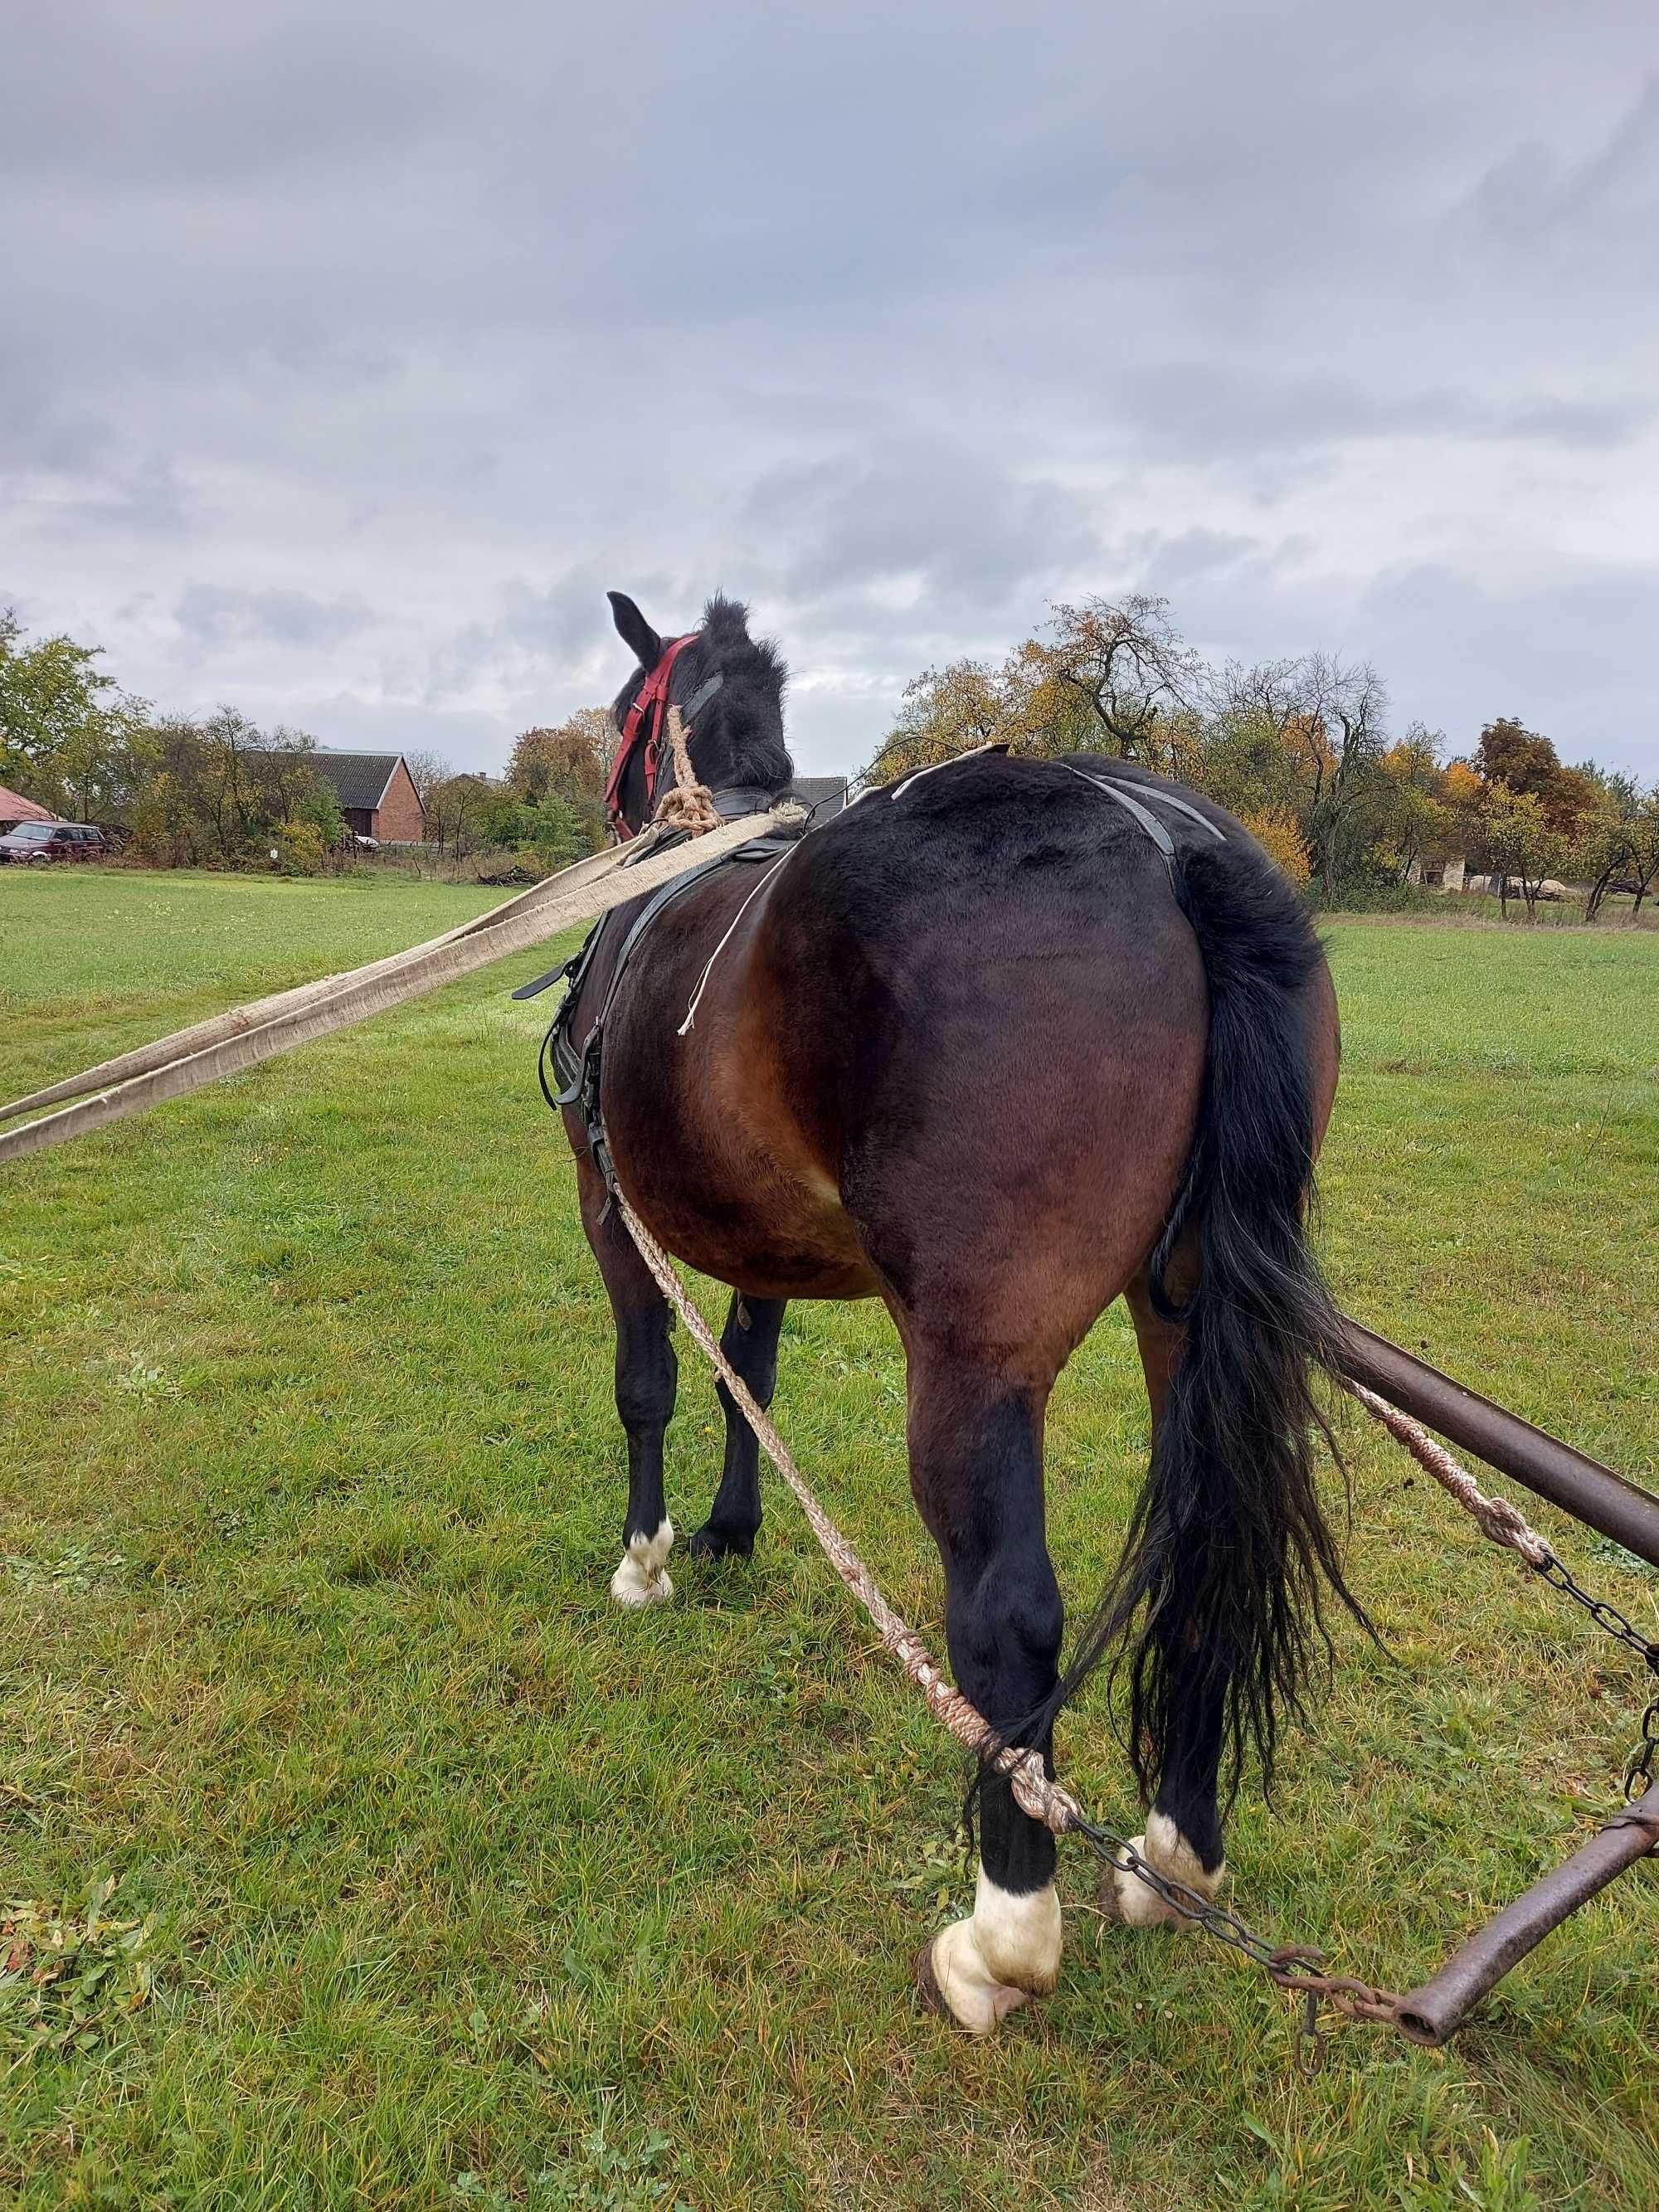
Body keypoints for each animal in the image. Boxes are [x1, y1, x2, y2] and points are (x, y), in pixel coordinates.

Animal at [559, 592, 1362, 2035]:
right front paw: (731, 1526)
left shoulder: (610, 1208)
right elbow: (746, 1374)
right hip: (1187, 1313)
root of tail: (1173, 851)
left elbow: (650, 1383)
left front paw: (646, 1557)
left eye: (622, 716)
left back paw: (1005, 1935)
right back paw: (1175, 1852)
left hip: (974, 1354)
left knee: (1007, 1610)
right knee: (1200, 1538)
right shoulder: (761, 1235)